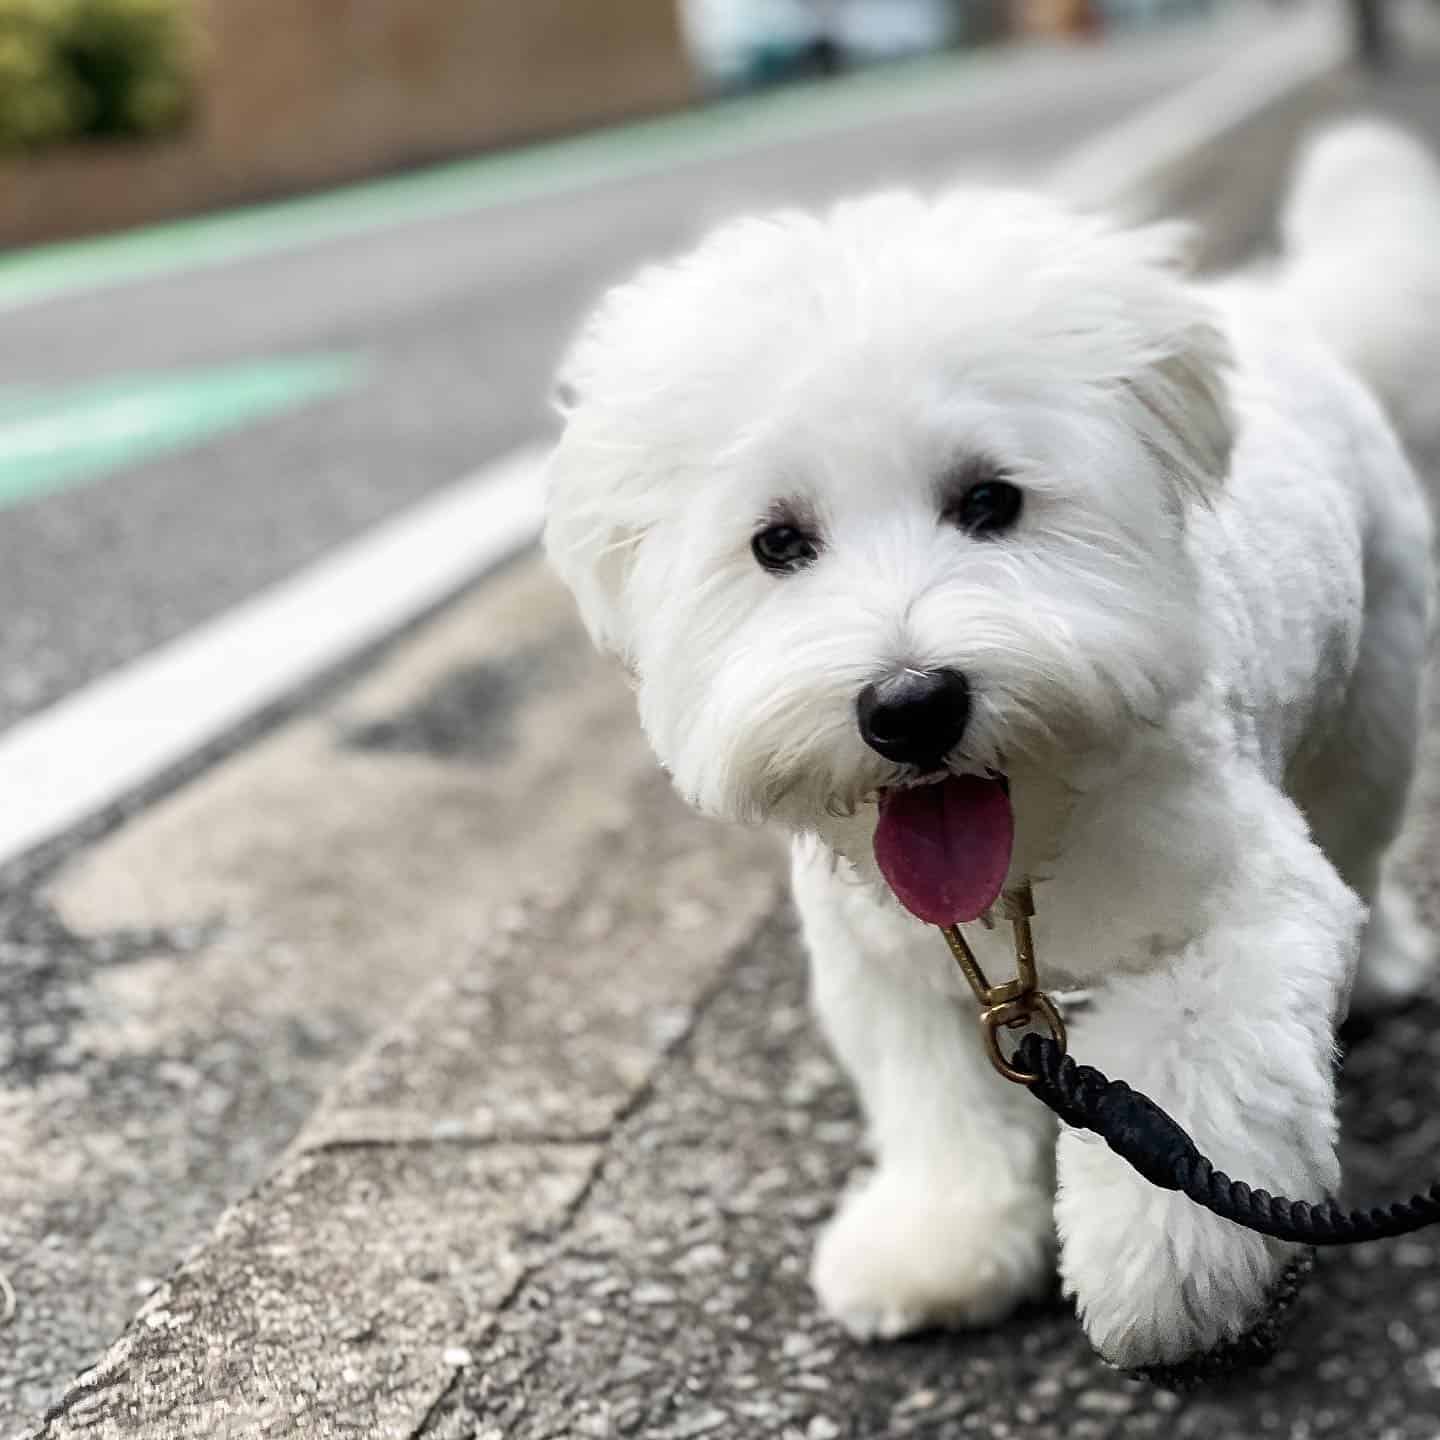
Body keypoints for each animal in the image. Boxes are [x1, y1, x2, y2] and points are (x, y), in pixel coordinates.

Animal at [541, 123, 1440, 1370]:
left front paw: (1163, 1270)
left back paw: (1387, 963)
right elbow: (936, 1105)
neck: (1031, 850)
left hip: (1373, 703)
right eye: (778, 544)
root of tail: (1285, 308)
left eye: (989, 501)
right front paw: (938, 1243)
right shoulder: (886, 966)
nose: (910, 704)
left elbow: (1195, 1068)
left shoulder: (1244, 911)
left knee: (1361, 837)